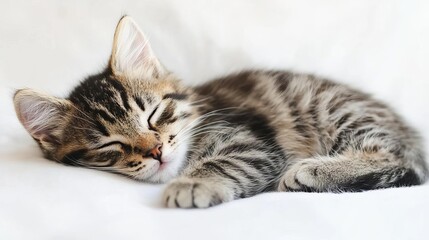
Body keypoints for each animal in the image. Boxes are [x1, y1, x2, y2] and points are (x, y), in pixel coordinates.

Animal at [12, 16, 424, 208]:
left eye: (153, 114)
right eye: (109, 145)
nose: (156, 151)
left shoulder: (252, 142)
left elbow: (223, 162)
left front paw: (193, 184)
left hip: (336, 110)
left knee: (402, 161)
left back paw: (312, 170)